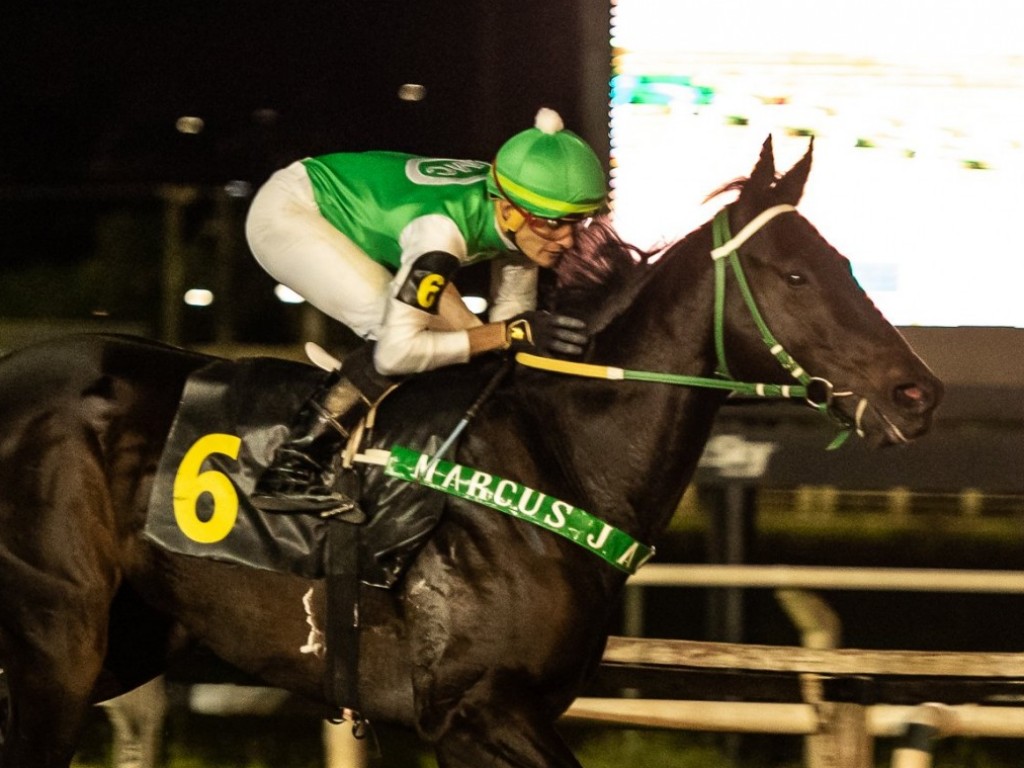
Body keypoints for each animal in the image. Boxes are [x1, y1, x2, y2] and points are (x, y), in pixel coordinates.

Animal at [2, 140, 942, 768]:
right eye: (797, 276)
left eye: (845, 262)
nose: (918, 393)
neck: (562, 454)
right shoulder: (474, 710)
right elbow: (402, 333)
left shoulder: (493, 718)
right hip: (58, 641)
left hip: (129, 638)